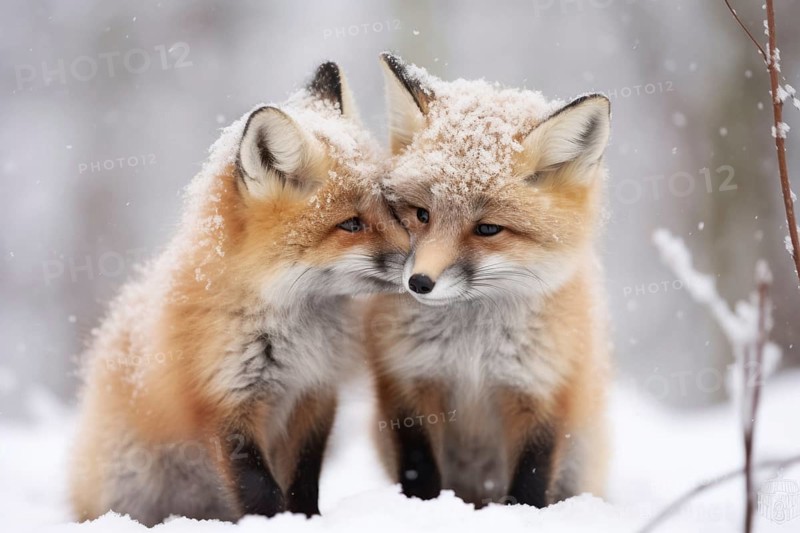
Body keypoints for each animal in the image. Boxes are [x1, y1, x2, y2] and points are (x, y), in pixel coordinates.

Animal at [68, 61, 408, 526]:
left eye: (393, 210)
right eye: (351, 224)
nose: (420, 267)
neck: (293, 330)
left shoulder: (314, 392)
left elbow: (304, 476)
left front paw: (305, 519)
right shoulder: (223, 402)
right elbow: (258, 487)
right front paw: (272, 523)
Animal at [364, 53, 612, 508]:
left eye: (487, 229)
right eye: (422, 214)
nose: (419, 283)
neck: (472, 349)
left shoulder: (542, 392)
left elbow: (531, 482)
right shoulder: (408, 385)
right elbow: (419, 472)